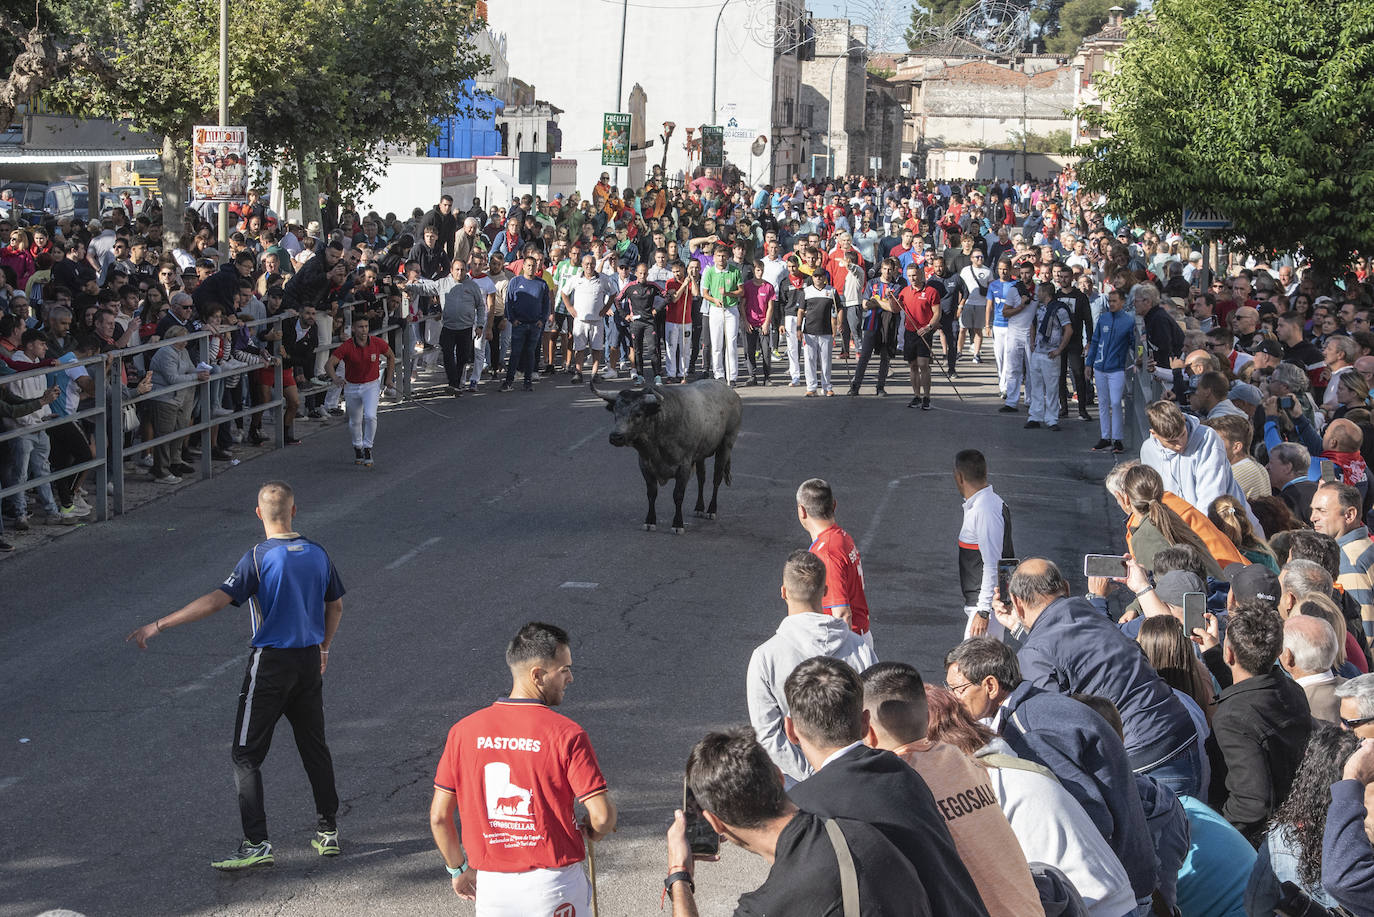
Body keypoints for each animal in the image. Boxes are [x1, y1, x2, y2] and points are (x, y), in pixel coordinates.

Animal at [590, 379, 741, 533]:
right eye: (615, 412)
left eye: (638, 414)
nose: (616, 437)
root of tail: (729, 390)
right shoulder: (645, 465)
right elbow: (651, 494)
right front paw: (650, 521)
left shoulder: (684, 466)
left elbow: (678, 495)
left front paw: (677, 524)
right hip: (701, 455)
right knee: (701, 478)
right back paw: (699, 508)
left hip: (726, 444)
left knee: (717, 478)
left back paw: (711, 510)